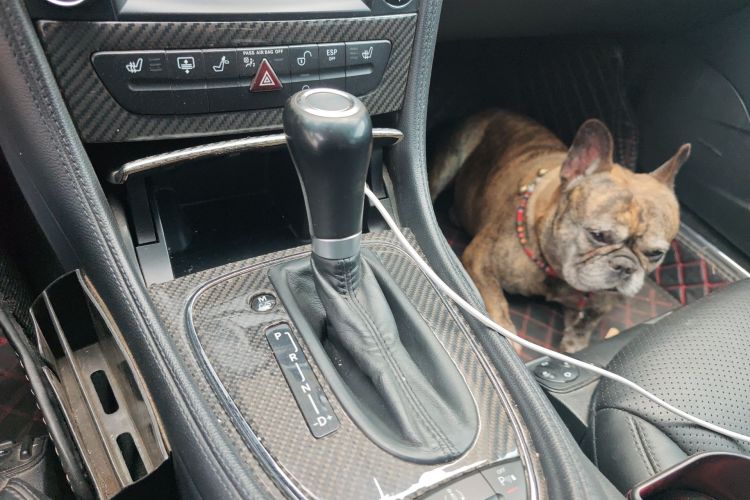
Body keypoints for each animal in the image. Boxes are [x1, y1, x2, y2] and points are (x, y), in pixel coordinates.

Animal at [429, 111, 690, 352]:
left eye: (656, 254)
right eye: (598, 235)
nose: (625, 266)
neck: (555, 271)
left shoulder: (601, 300)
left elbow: (589, 319)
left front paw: (575, 342)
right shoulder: (480, 261)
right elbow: (495, 300)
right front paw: (506, 332)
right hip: (451, 159)